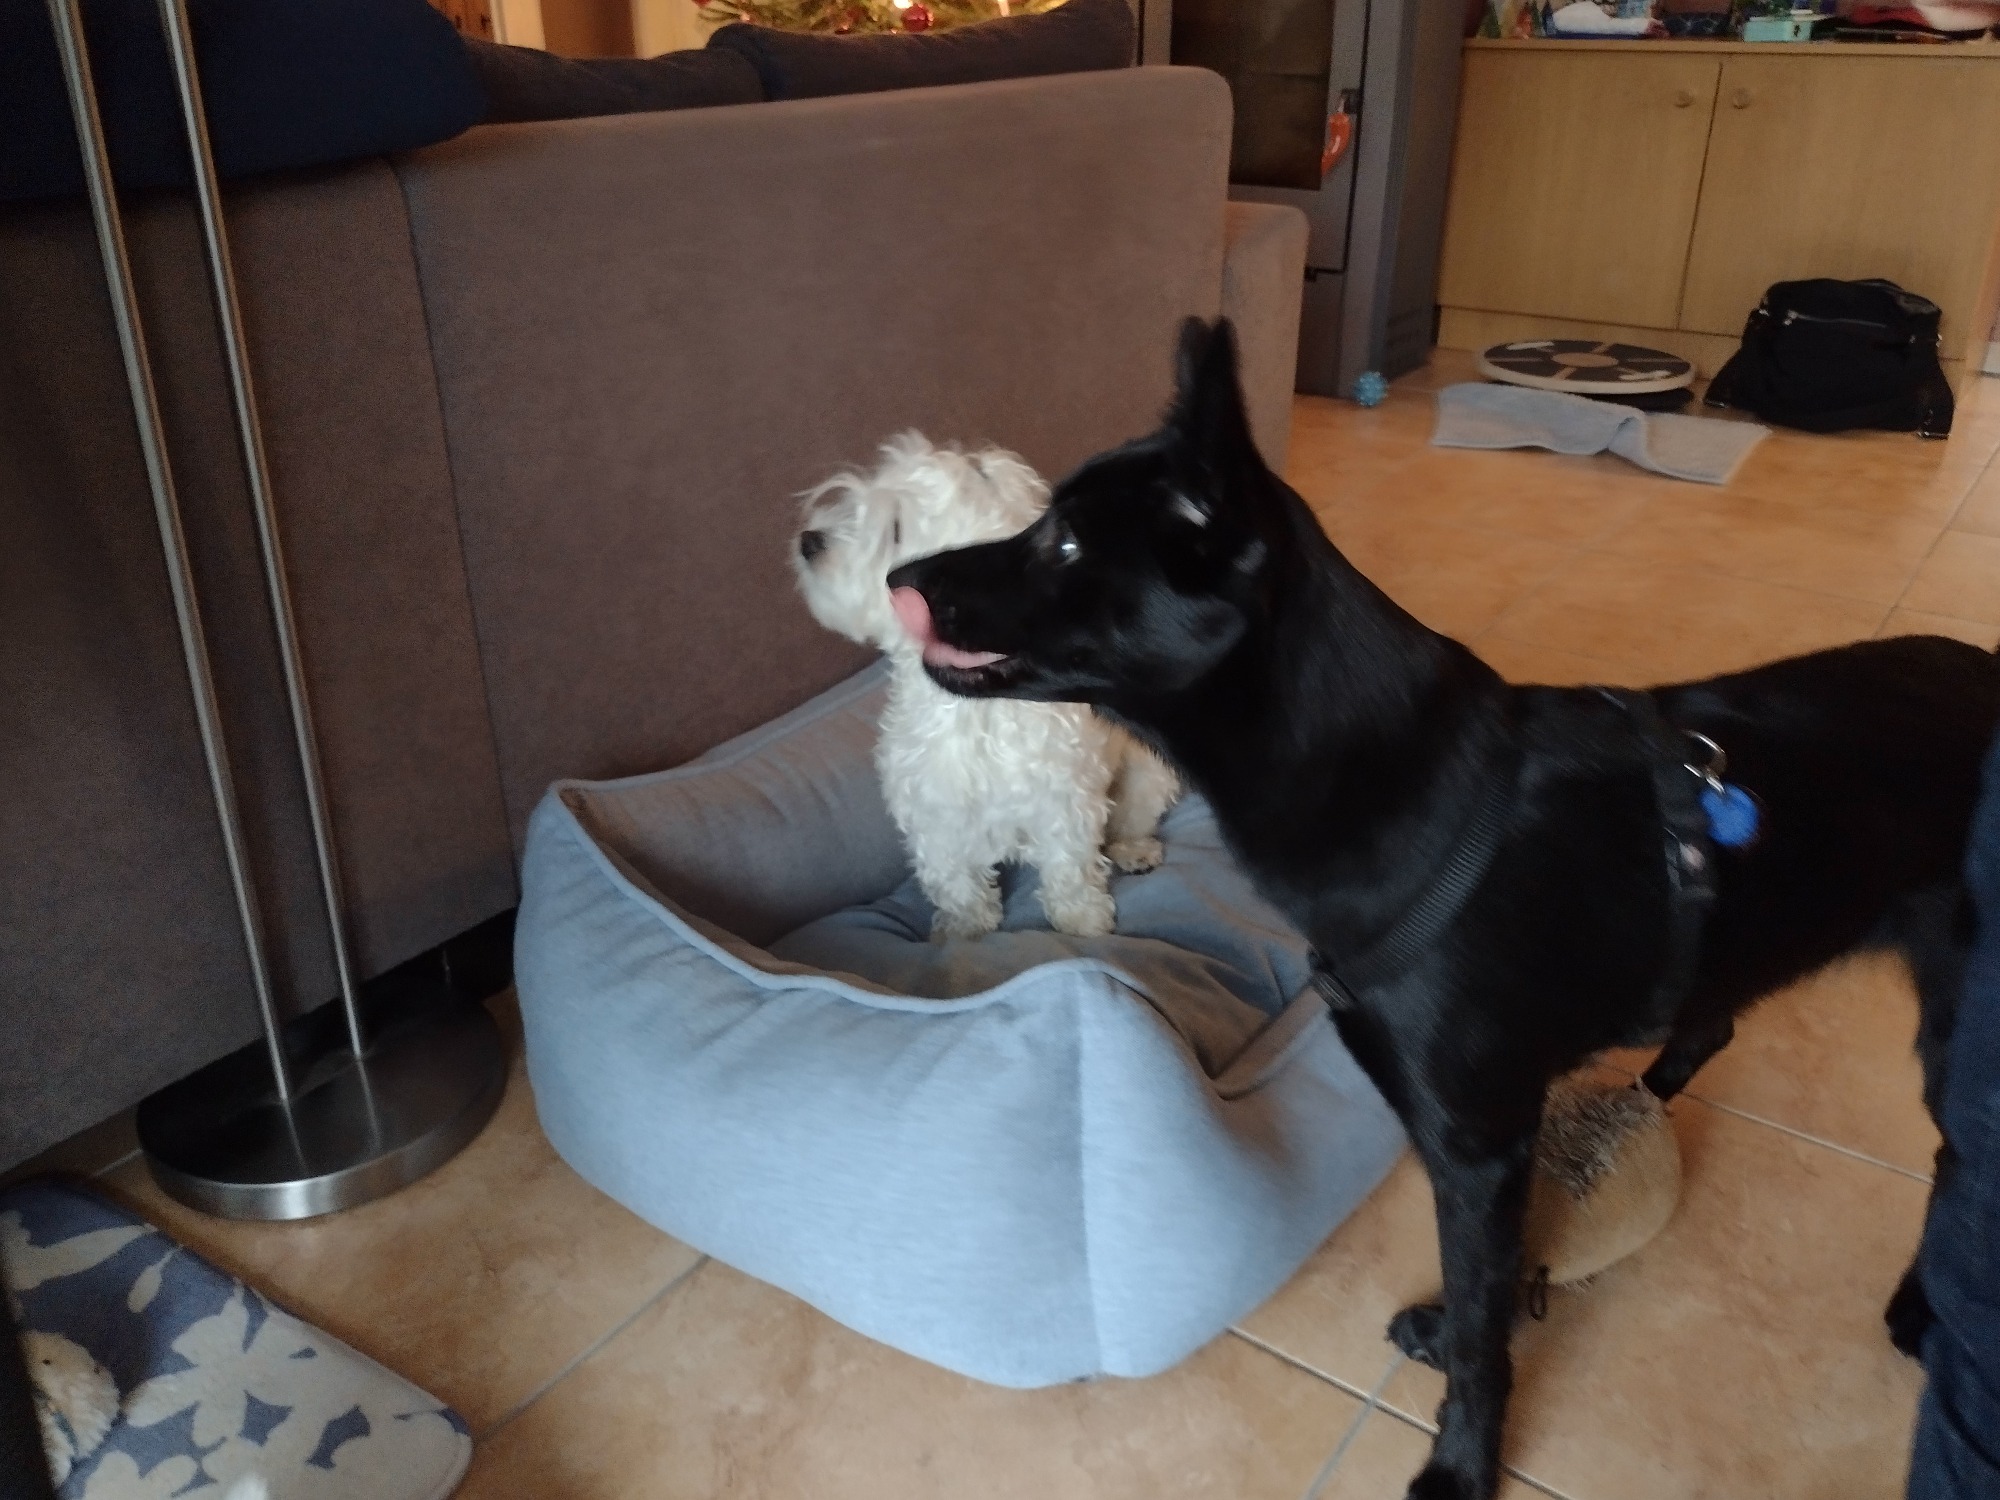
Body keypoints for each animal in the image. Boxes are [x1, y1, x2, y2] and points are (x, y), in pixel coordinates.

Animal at [792, 433, 1179, 940]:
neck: (970, 705)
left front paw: (1081, 920)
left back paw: (1134, 849)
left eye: (894, 530)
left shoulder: (1063, 803)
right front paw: (965, 930)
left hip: (1146, 775)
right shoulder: (935, 813)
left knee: (1131, 818)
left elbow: (1070, 865)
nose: (809, 541)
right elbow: (953, 878)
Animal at [886, 320, 2000, 1500]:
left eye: (1060, 543)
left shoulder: (1477, 1144)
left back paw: (1922, 1307)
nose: (900, 577)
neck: (1389, 772)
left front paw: (1464, 1458)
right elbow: (1484, 1287)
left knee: (1956, 1168)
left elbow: (1478, 1319)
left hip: (1958, 1034)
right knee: (1710, 1026)